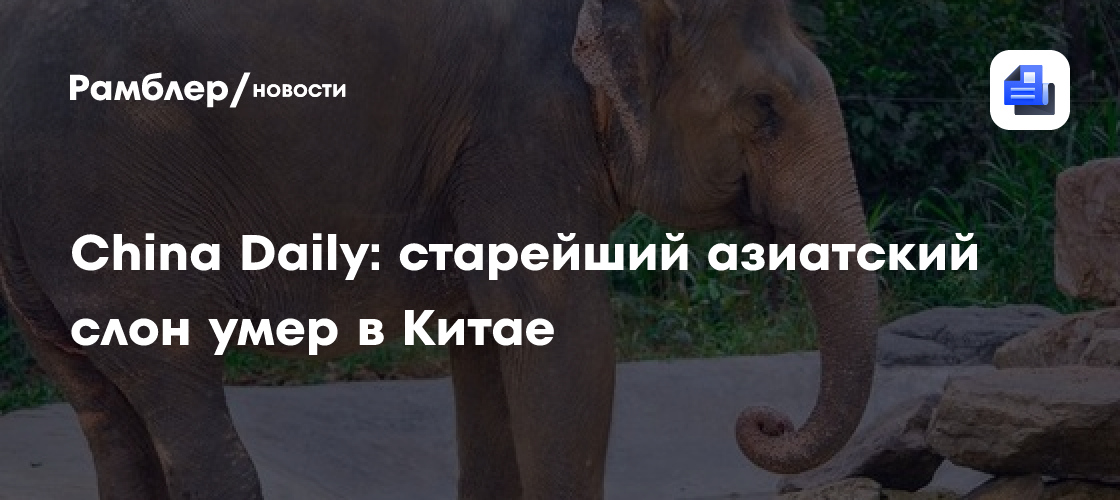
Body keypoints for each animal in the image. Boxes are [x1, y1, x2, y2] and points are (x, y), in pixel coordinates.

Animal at [0, 0, 878, 498]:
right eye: (764, 108)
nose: (762, 419)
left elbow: (492, 341)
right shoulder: (520, 125)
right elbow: (564, 337)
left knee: (97, 402)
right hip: (102, 190)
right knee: (175, 385)